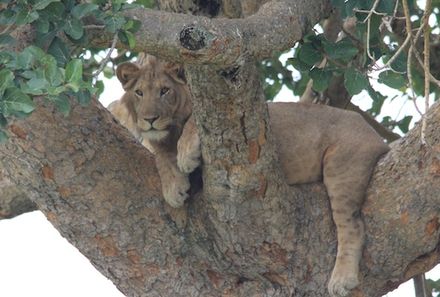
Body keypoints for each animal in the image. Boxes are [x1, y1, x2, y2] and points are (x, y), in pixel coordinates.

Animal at [109, 55, 388, 296]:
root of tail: (377, 137)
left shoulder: (234, 117)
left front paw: (185, 155)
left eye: (165, 91)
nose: (150, 119)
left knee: (352, 226)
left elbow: (197, 121)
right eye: (139, 93)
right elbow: (160, 155)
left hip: (341, 167)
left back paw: (342, 279)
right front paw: (173, 188)